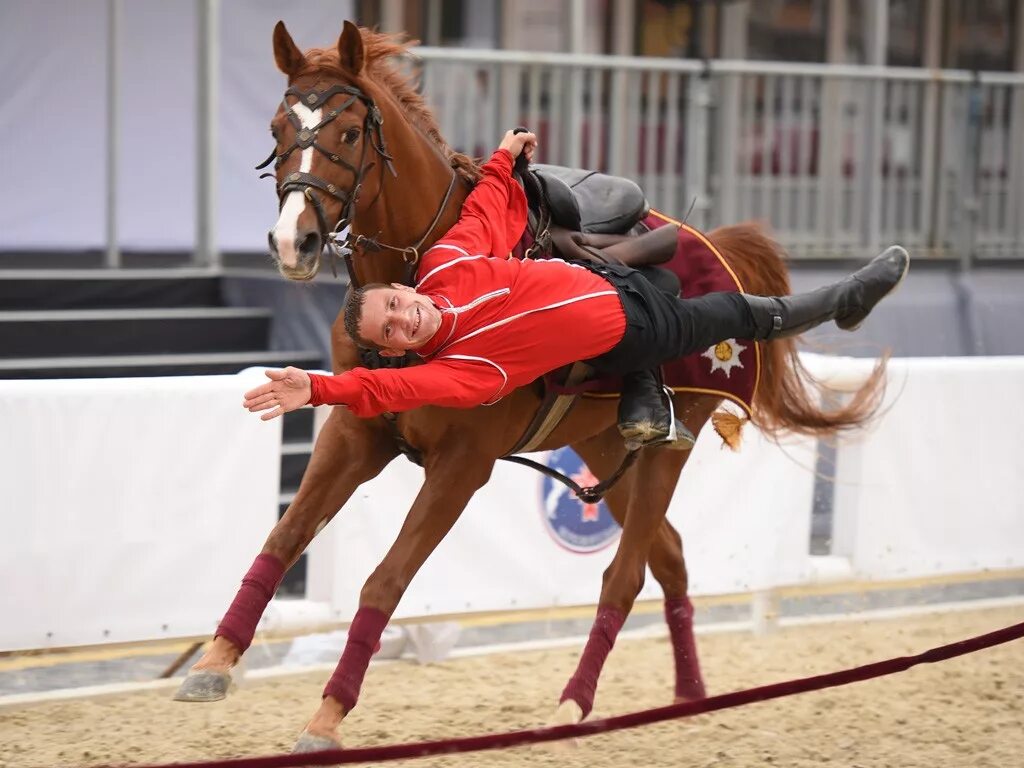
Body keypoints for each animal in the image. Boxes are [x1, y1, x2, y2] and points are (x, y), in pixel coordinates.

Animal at [174, 20, 880, 749]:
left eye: (346, 133)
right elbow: (283, 539)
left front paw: (327, 716)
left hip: (669, 448)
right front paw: (214, 662)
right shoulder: (355, 433)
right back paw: (686, 694)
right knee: (670, 557)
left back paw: (574, 703)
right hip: (605, 449)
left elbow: (383, 582)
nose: (295, 241)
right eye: (277, 126)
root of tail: (715, 247)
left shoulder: (462, 465)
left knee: (625, 576)